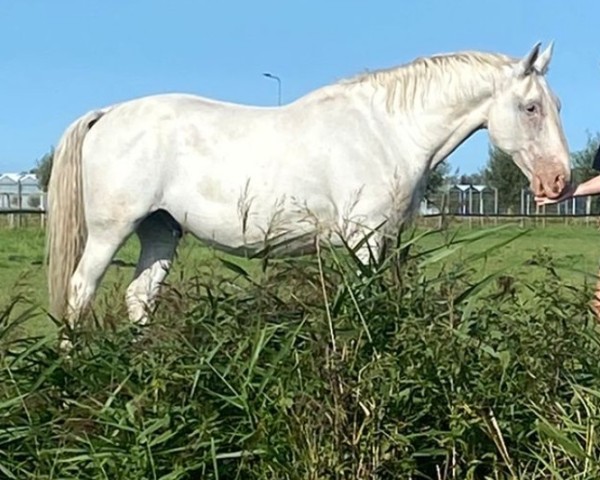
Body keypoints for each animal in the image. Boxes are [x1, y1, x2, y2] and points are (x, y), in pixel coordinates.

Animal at [47, 41, 572, 348]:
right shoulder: (365, 239)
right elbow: (364, 301)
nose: (558, 181)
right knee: (80, 291)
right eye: (531, 107)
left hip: (161, 230)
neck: (386, 130)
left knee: (139, 297)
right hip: (111, 230)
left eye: (557, 105)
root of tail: (108, 113)